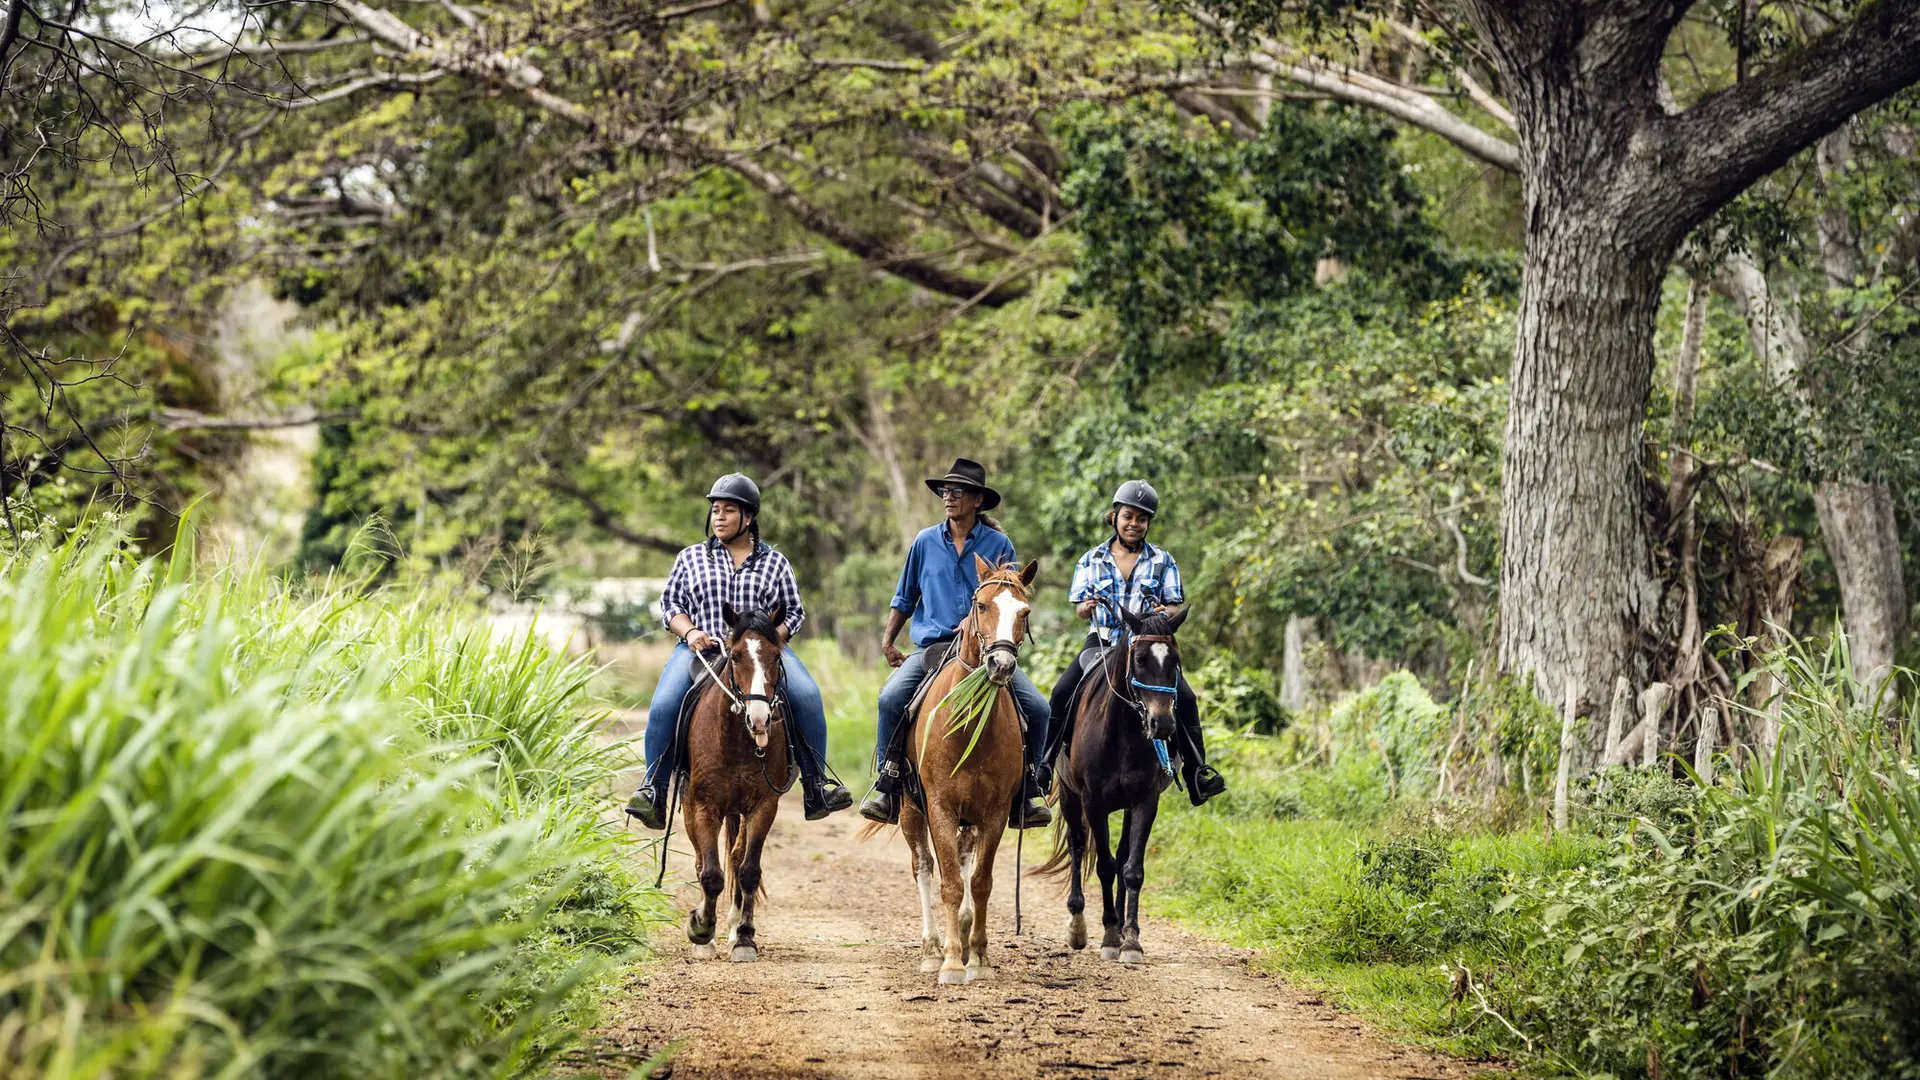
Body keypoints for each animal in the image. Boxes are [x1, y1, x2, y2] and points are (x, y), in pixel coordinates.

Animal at [679, 599, 791, 960]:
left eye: (776, 655)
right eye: (737, 655)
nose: (760, 719)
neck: (739, 741)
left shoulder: (764, 806)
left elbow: (748, 870)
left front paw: (744, 937)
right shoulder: (704, 806)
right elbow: (711, 874)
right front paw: (701, 929)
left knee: (736, 857)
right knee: (702, 862)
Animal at [879, 553, 1044, 983]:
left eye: (1024, 612)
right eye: (981, 606)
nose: (1000, 664)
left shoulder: (995, 812)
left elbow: (980, 881)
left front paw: (980, 957)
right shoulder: (939, 807)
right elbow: (950, 882)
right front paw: (952, 961)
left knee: (966, 862)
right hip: (910, 810)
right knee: (923, 868)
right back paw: (931, 949)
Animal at [1036, 607, 1182, 957]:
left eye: (1175, 660)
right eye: (1140, 659)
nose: (1163, 725)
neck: (1122, 732)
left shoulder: (1145, 800)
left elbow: (1131, 868)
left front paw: (1130, 939)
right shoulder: (1093, 802)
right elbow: (1104, 865)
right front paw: (1110, 935)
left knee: (1122, 853)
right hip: (1070, 796)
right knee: (1077, 844)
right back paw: (1077, 924)